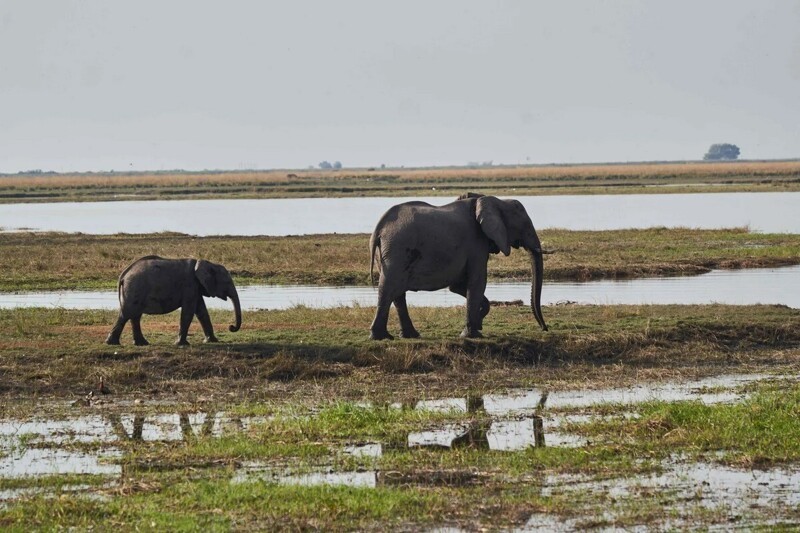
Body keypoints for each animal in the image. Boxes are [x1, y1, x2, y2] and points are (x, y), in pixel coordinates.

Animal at [107, 256, 244, 348]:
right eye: (227, 282)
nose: (231, 327)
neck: (206, 263)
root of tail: (123, 275)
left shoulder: (196, 288)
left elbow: (202, 312)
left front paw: (212, 341)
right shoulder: (190, 285)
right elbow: (188, 312)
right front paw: (181, 344)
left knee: (134, 316)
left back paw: (141, 344)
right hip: (135, 288)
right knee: (126, 314)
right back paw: (112, 343)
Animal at [370, 193, 548, 338]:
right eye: (525, 226)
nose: (544, 328)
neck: (495, 200)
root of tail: (379, 228)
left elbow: (458, 287)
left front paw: (477, 324)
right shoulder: (476, 243)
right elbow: (477, 282)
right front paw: (472, 334)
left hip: (387, 253)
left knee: (397, 294)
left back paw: (409, 335)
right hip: (397, 249)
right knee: (389, 288)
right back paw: (381, 337)